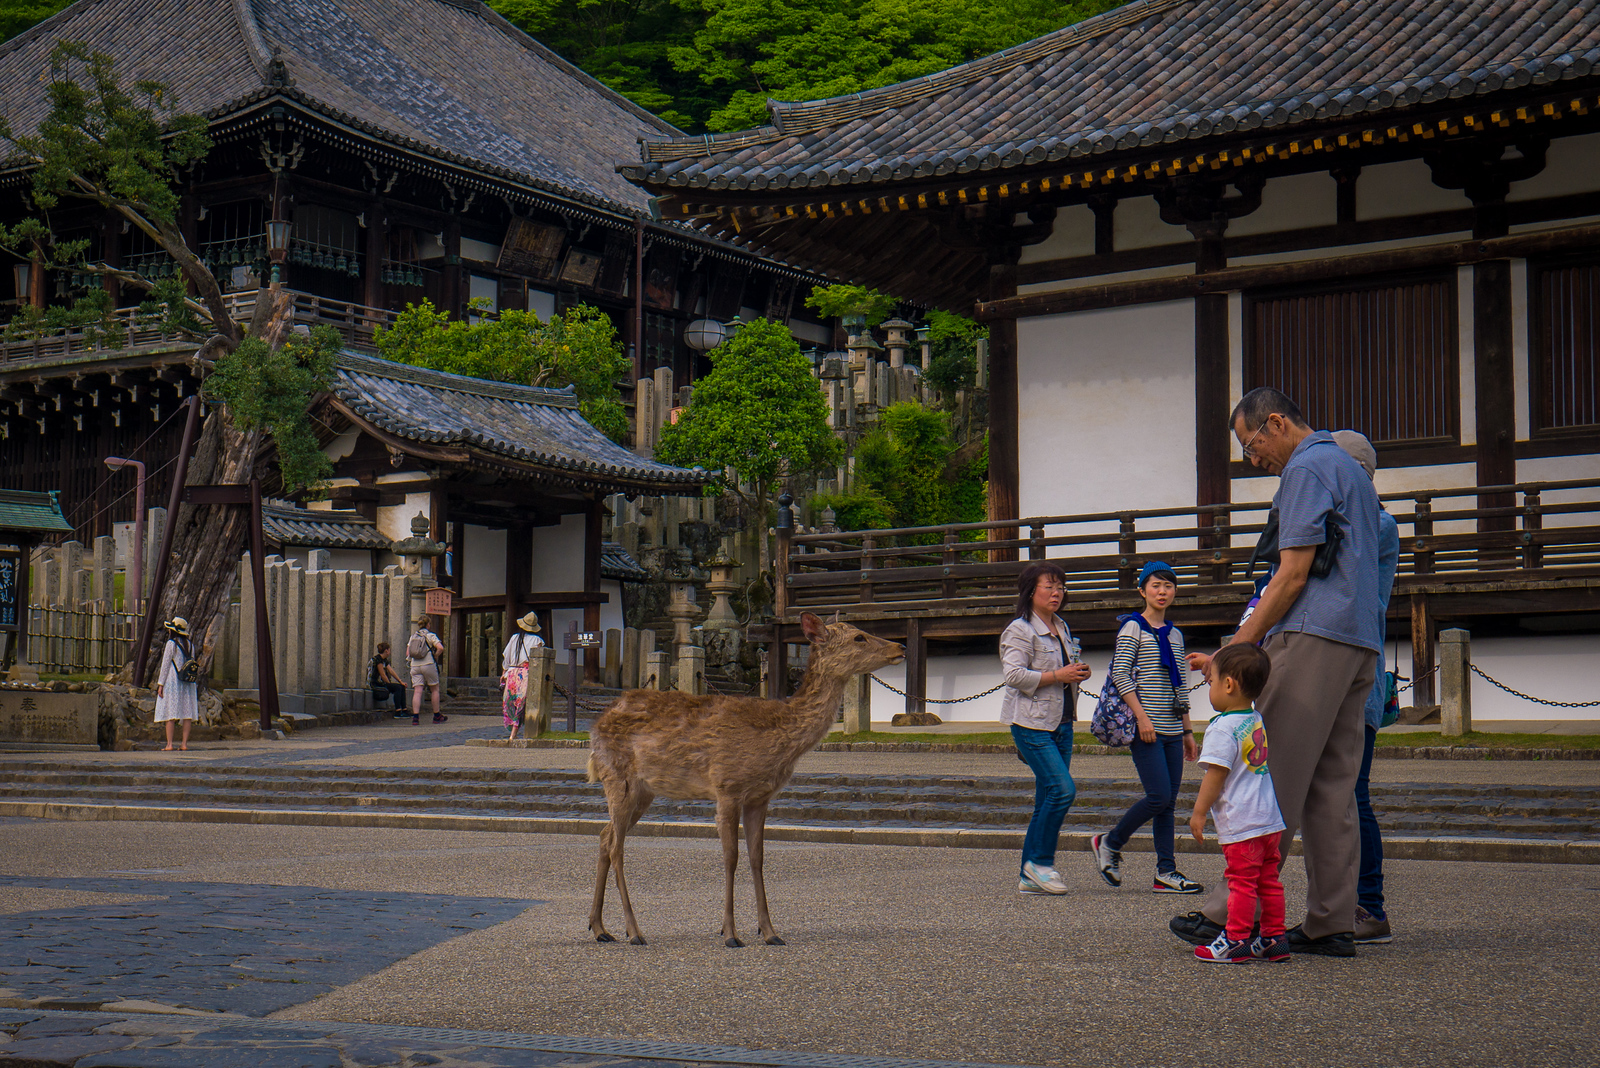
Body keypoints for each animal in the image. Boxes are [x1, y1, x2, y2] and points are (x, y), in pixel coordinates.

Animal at [585, 611, 904, 948]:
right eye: (859, 637)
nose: (900, 647)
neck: (778, 738)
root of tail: (595, 726)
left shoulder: (760, 797)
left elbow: (757, 857)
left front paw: (769, 931)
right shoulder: (727, 786)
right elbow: (731, 857)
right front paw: (730, 933)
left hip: (643, 791)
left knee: (605, 836)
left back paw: (600, 927)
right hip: (618, 776)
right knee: (617, 846)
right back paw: (633, 931)